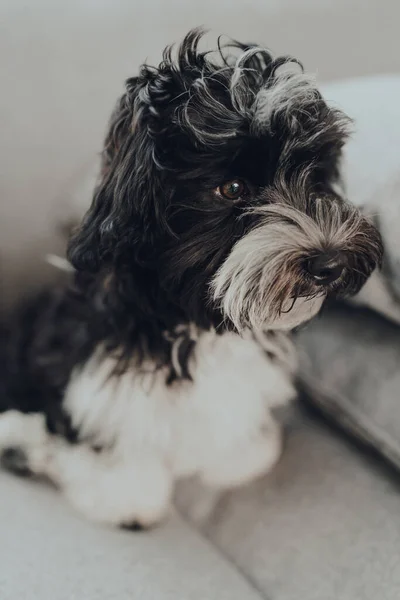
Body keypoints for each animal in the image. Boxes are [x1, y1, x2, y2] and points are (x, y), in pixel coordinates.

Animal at [0, 30, 382, 528]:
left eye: (315, 177)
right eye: (232, 189)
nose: (330, 263)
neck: (200, 320)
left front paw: (239, 454)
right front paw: (125, 493)